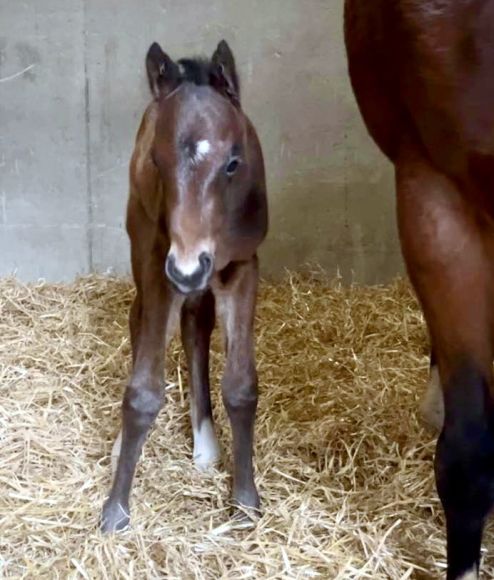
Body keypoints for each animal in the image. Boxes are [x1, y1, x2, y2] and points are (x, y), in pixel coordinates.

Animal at [101, 39, 270, 532]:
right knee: (139, 318)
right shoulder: (161, 263)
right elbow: (142, 393)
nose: (190, 268)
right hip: (147, 249)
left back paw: (206, 443)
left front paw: (245, 501)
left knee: (197, 325)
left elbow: (240, 386)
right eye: (158, 162)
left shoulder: (243, 266)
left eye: (233, 162)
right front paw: (115, 510)